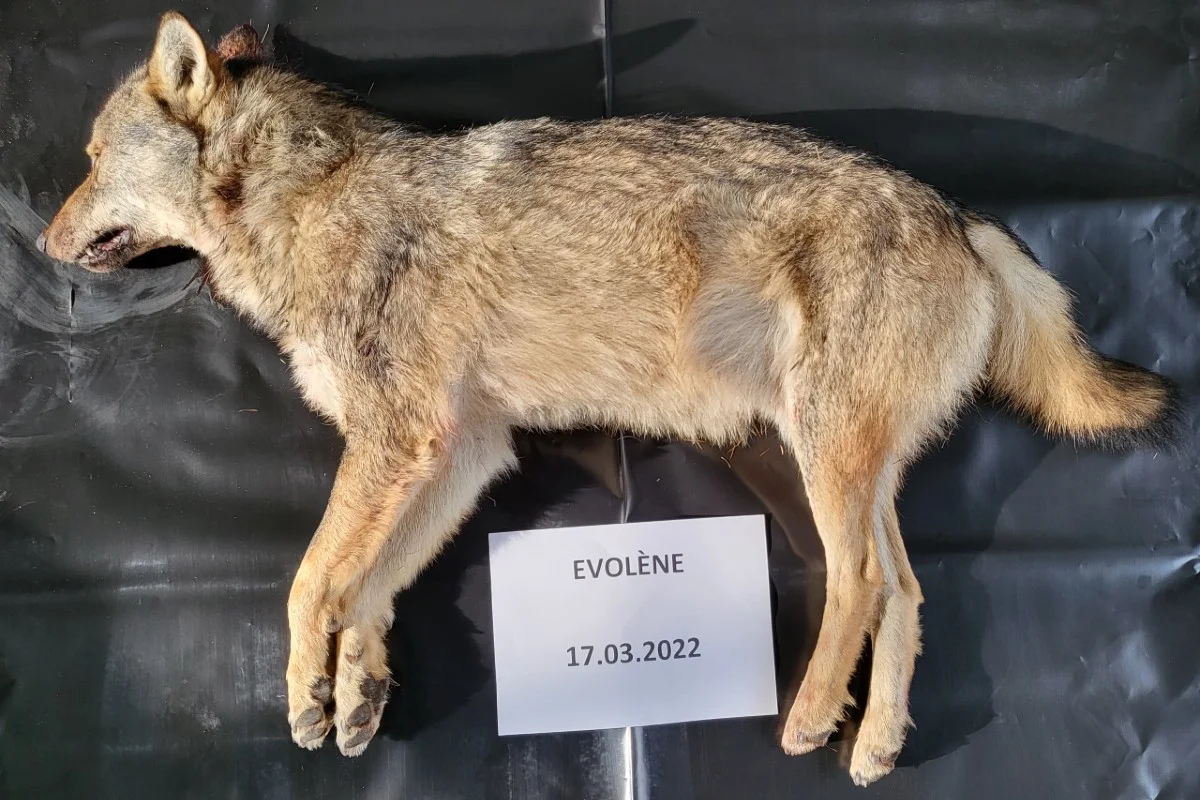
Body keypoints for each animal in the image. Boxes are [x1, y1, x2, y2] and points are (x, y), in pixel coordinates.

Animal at [37, 12, 1178, 786]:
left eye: (89, 162)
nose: (41, 242)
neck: (303, 200)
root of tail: (959, 213)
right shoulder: (459, 451)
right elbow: (374, 584)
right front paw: (358, 690)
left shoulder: (398, 439)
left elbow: (310, 581)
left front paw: (304, 699)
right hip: (854, 465)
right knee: (907, 591)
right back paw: (877, 743)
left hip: (821, 456)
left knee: (857, 583)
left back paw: (812, 717)